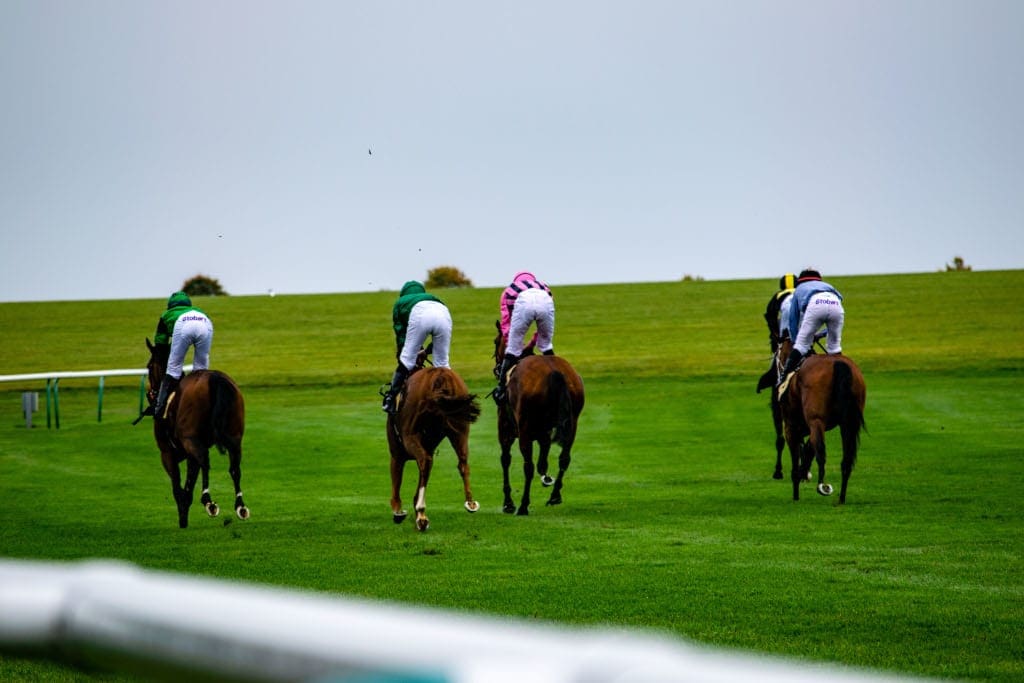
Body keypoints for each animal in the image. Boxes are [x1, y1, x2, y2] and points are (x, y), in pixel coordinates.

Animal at [144, 339, 249, 528]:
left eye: (149, 366)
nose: (151, 394)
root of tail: (215, 379)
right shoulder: (188, 455)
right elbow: (189, 484)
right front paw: (184, 514)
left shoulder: (167, 453)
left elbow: (178, 486)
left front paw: (182, 518)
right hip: (235, 438)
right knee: (235, 468)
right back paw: (240, 506)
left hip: (191, 439)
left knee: (205, 461)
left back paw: (209, 501)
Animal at [385, 356, 481, 532]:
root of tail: (441, 377)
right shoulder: (427, 446)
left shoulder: (397, 452)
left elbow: (397, 478)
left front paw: (398, 511)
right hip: (460, 430)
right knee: (462, 462)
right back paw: (470, 502)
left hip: (409, 436)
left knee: (425, 461)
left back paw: (421, 512)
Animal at [493, 325, 585, 511]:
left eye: (495, 341)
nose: (497, 368)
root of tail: (555, 372)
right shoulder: (545, 433)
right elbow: (544, 461)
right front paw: (547, 478)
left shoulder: (506, 430)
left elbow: (506, 460)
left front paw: (508, 503)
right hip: (572, 424)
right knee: (564, 459)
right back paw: (555, 495)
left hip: (524, 431)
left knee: (528, 466)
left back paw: (523, 505)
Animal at [778, 339, 868, 505]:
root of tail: (839, 364)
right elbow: (808, 448)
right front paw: (804, 472)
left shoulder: (791, 428)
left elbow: (798, 456)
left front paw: (796, 492)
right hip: (849, 422)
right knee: (847, 457)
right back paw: (841, 497)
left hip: (816, 420)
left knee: (821, 450)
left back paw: (822, 486)